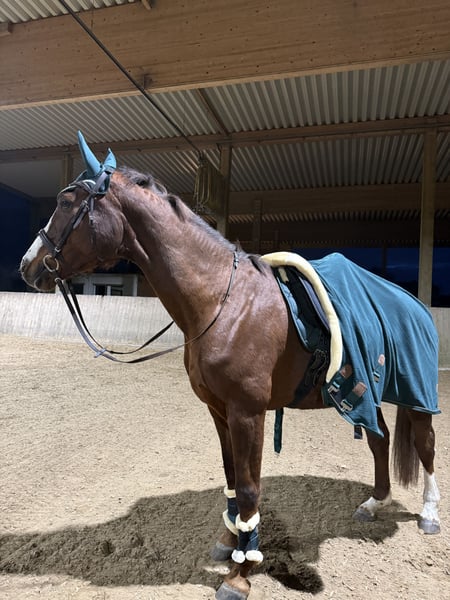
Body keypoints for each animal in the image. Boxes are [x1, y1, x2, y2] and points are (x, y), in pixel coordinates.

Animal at [20, 133, 441, 600]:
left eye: (67, 201)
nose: (27, 266)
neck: (223, 301)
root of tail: (415, 304)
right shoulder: (219, 411)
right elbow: (231, 479)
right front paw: (229, 543)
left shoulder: (247, 413)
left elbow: (251, 487)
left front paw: (241, 572)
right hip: (370, 392)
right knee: (379, 440)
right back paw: (374, 502)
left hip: (417, 394)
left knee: (425, 445)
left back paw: (428, 515)